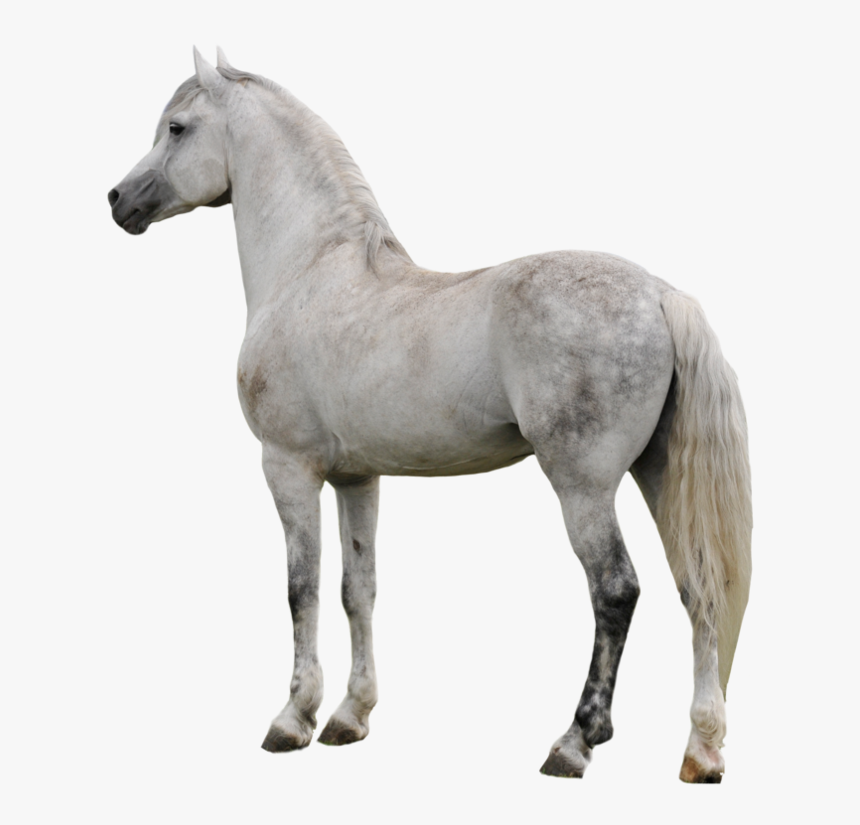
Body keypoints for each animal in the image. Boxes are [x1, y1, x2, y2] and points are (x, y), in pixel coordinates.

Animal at [108, 48, 752, 783]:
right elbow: (357, 588)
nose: (118, 200)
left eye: (177, 128)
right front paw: (349, 716)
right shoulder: (356, 477)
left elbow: (301, 588)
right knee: (699, 589)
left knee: (616, 590)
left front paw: (293, 718)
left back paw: (575, 740)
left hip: (583, 485)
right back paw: (701, 750)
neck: (310, 273)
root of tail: (661, 295)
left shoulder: (288, 467)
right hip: (659, 474)